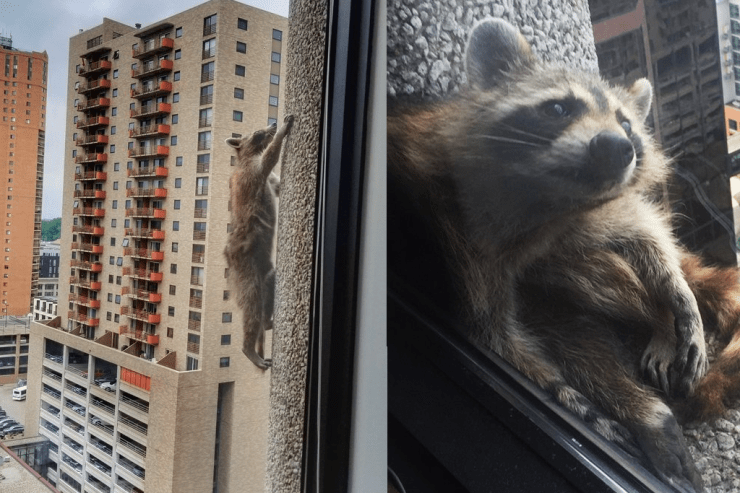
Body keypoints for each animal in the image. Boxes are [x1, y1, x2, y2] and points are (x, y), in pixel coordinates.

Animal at [225, 114, 294, 370]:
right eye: (257, 132)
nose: (272, 125)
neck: (244, 156)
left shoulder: (265, 178)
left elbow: (277, 185)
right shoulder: (253, 173)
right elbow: (270, 158)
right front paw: (282, 132)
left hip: (264, 270)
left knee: (269, 284)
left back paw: (267, 323)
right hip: (246, 273)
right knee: (252, 310)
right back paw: (249, 349)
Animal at [389, 18, 740, 492]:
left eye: (626, 124)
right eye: (559, 109)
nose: (617, 148)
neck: (543, 202)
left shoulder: (576, 211)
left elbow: (634, 223)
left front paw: (673, 290)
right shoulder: (464, 237)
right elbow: (496, 335)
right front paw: (573, 398)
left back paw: (657, 324)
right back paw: (647, 409)